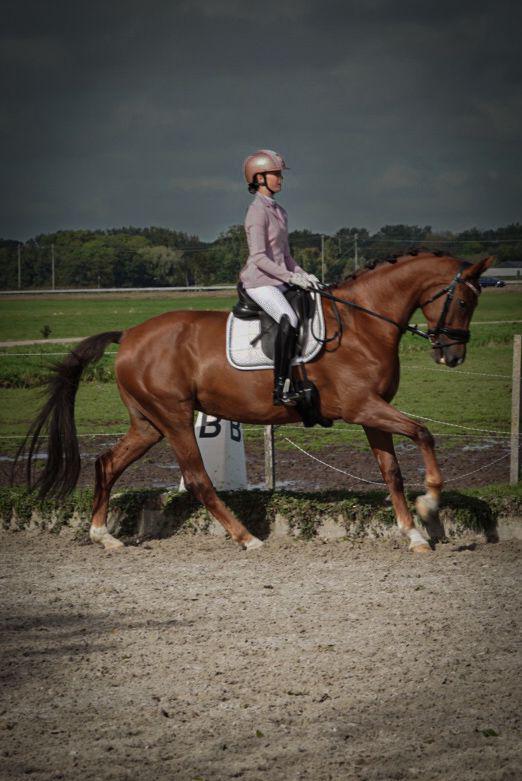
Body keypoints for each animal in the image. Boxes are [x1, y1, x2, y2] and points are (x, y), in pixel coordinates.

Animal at [16, 251, 492, 553]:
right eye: (462, 300)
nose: (452, 356)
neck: (362, 323)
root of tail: (129, 334)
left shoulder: (373, 414)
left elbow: (391, 472)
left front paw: (414, 535)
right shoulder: (361, 406)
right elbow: (424, 433)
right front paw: (430, 504)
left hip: (148, 423)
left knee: (107, 464)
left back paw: (104, 536)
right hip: (173, 418)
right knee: (198, 479)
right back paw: (248, 538)